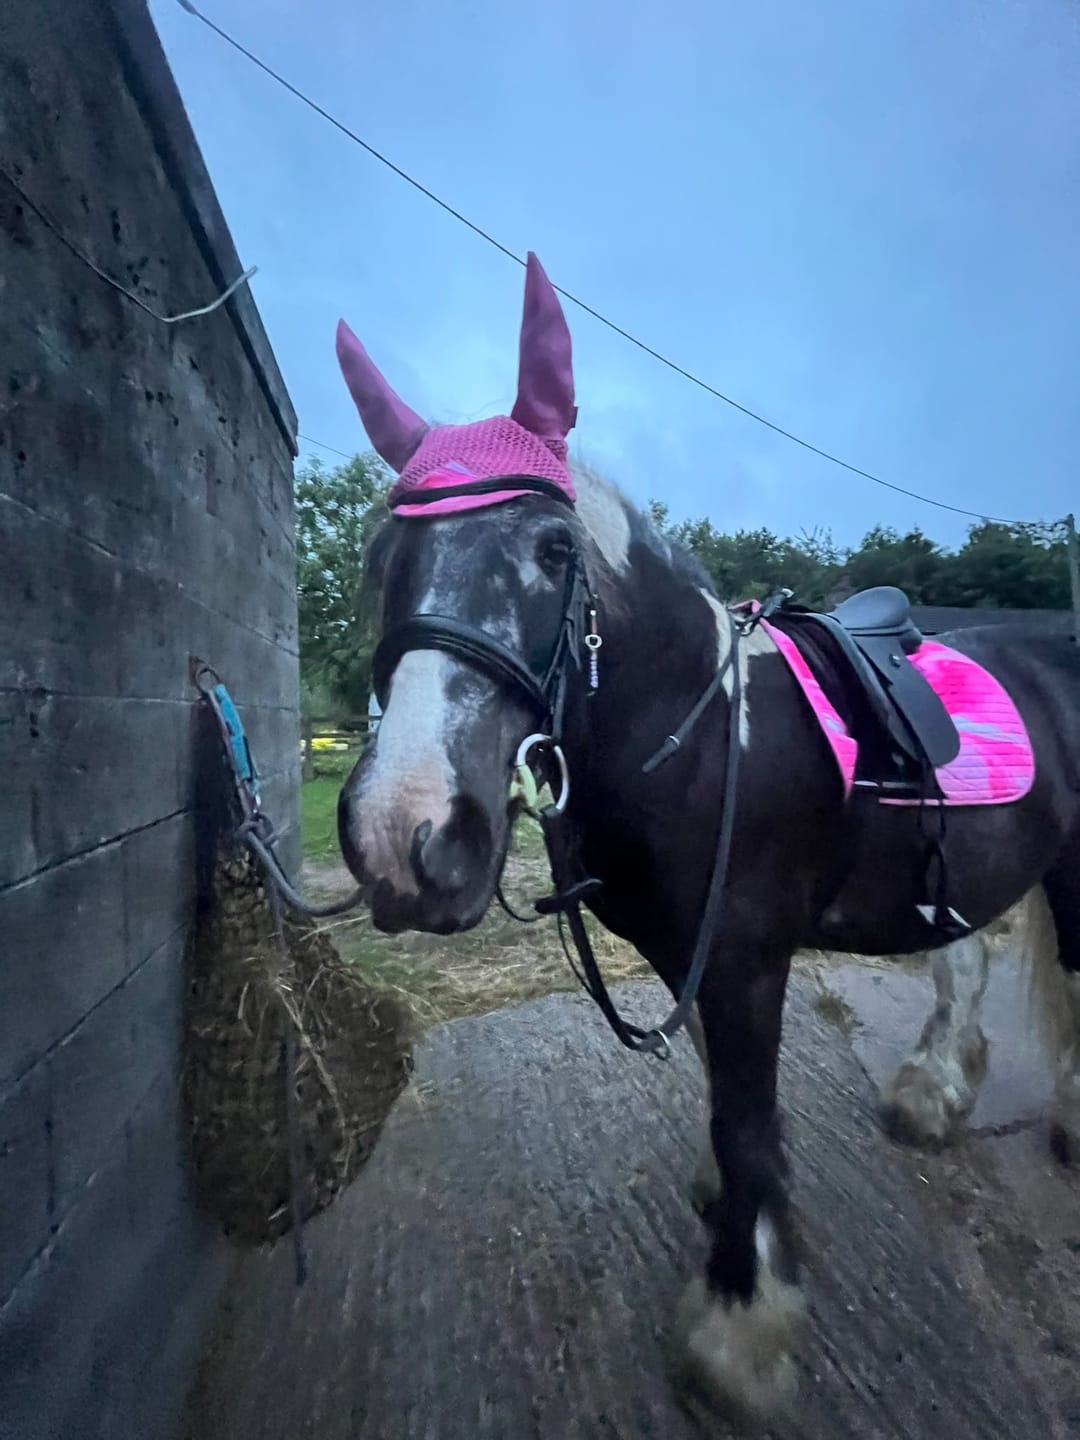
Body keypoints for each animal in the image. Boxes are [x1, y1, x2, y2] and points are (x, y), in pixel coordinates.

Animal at [332, 253, 1080, 1420]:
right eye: (383, 557)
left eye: (553, 548)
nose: (403, 833)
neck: (695, 737)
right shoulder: (689, 961)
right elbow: (728, 1106)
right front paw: (742, 1215)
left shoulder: (742, 964)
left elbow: (742, 1117)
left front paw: (740, 1321)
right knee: (960, 963)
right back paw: (933, 1091)